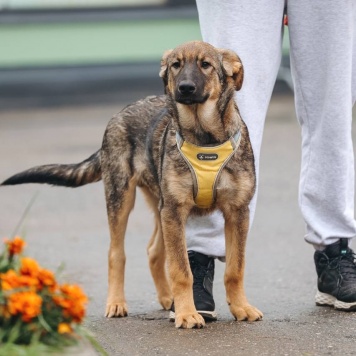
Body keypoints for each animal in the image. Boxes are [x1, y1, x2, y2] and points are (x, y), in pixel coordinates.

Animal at [1, 41, 262, 328]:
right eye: (176, 65)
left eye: (206, 65)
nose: (184, 88)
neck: (205, 138)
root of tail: (119, 113)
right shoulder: (175, 210)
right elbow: (181, 270)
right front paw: (186, 313)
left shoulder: (236, 212)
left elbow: (235, 268)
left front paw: (241, 307)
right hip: (123, 198)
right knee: (117, 253)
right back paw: (117, 303)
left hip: (160, 208)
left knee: (154, 252)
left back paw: (167, 298)